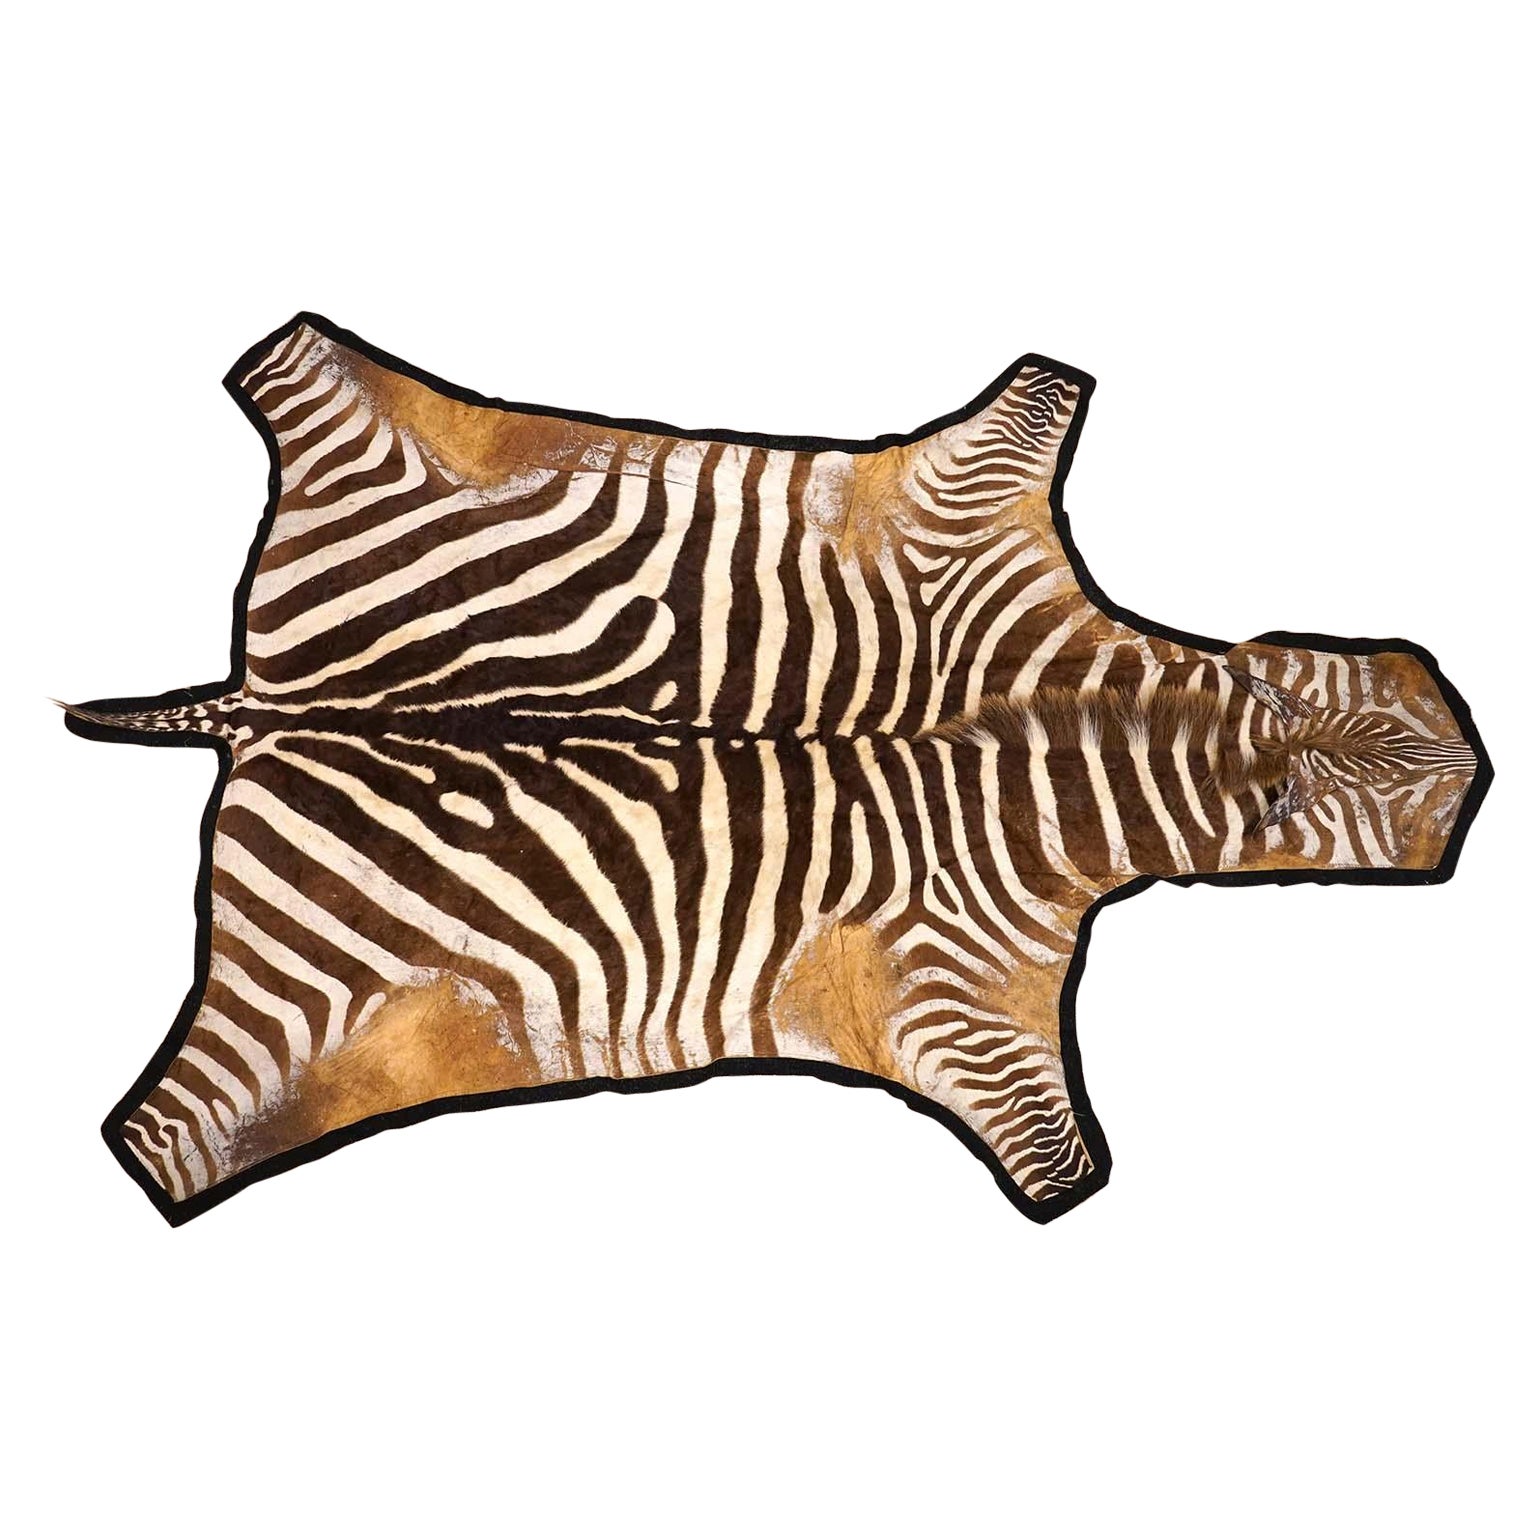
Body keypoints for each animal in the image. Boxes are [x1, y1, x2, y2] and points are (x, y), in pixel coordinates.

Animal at [61, 314, 1490, 1223]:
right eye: (1282, 814)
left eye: (1284, 674)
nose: (1467, 754)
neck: (1079, 738)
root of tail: (262, 702)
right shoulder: (959, 998)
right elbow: (1047, 1137)